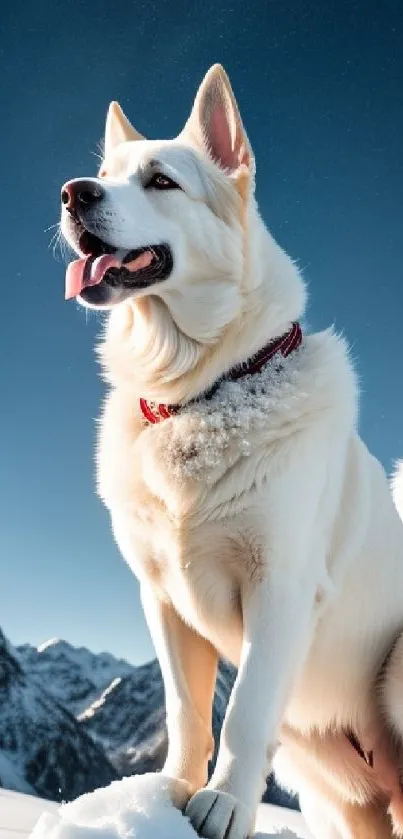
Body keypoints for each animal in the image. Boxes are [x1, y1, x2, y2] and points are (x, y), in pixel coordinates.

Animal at [61, 65, 403, 839]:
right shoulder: (160, 595)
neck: (203, 392)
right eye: (105, 175)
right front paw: (172, 789)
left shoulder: (281, 585)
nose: (72, 193)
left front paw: (223, 803)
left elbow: (245, 709)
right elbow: (188, 711)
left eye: (161, 181)